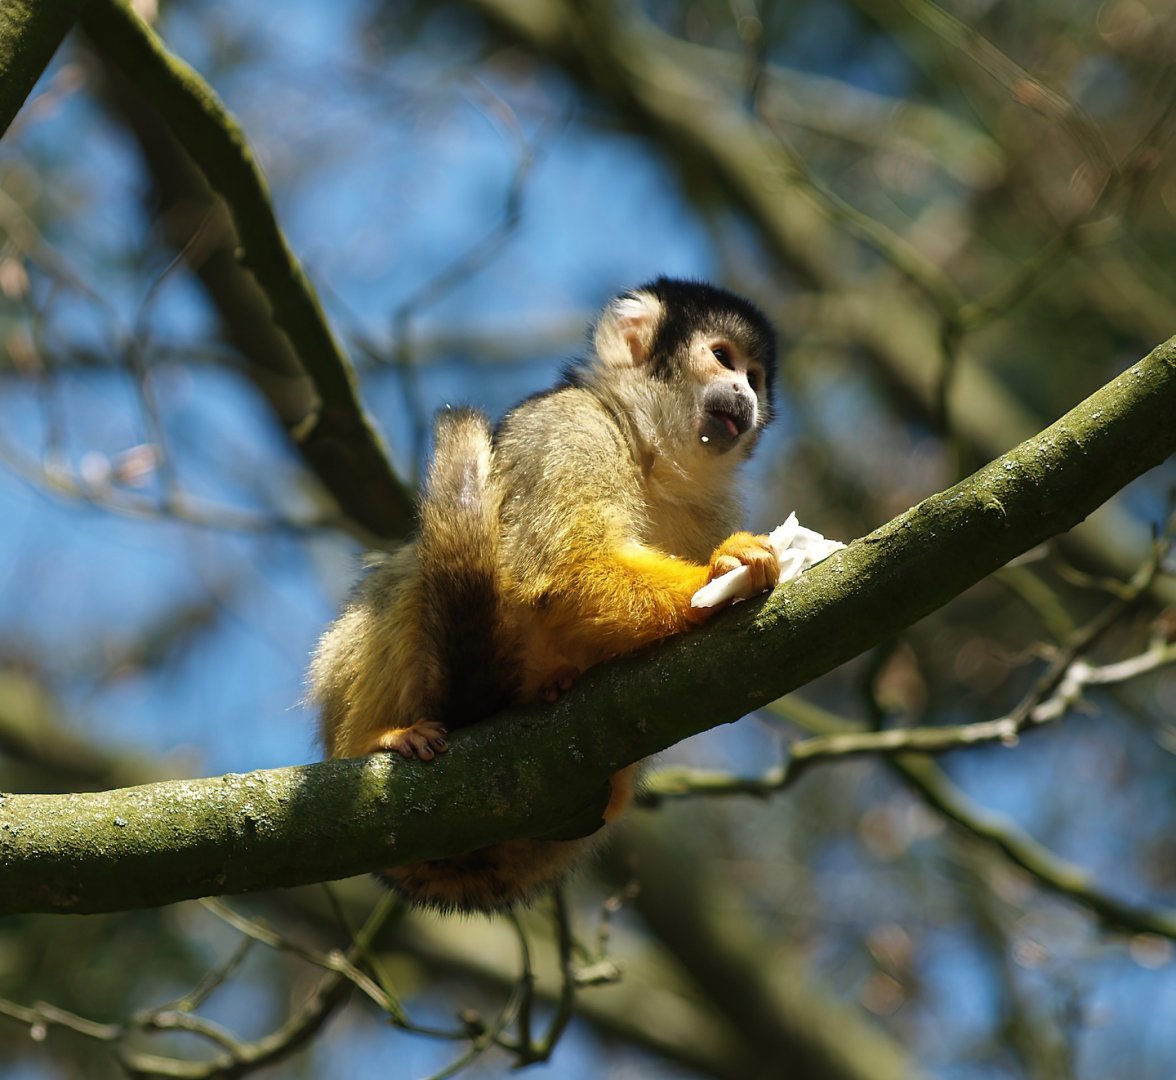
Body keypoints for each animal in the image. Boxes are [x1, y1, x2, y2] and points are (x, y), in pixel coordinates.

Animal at [310, 277, 780, 912]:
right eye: (724, 358)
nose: (745, 395)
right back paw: (371, 740)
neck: (647, 450)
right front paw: (718, 574)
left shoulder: (715, 503)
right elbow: (566, 567)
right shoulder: (567, 427)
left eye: (755, 377)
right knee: (409, 573)